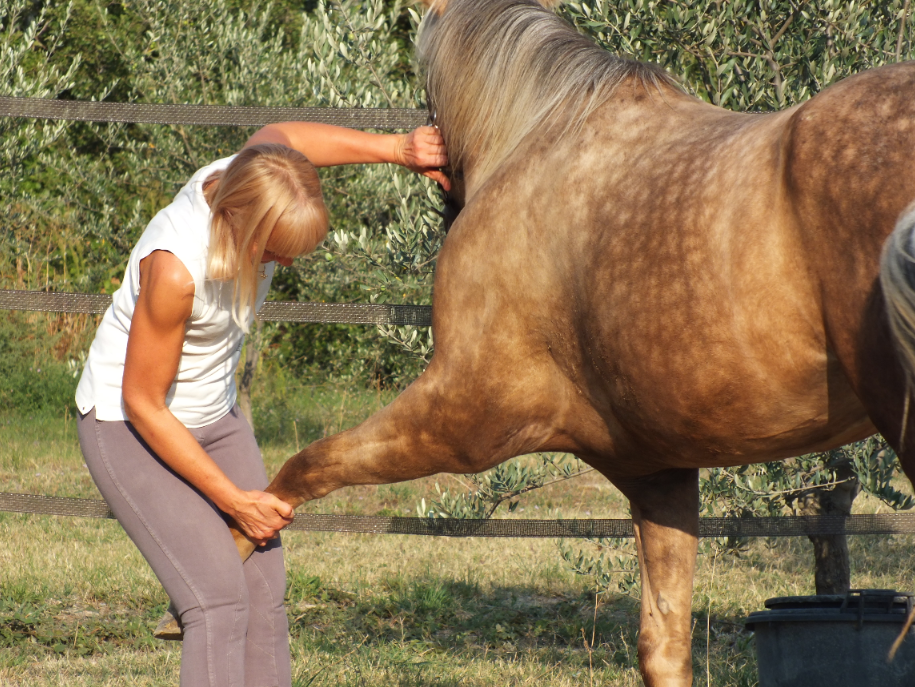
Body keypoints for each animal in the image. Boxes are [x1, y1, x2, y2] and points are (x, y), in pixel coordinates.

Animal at [250, 1, 915, 687]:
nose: (443, 194)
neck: (537, 136)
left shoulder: (461, 418)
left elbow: (306, 466)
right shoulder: (657, 474)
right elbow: (663, 646)